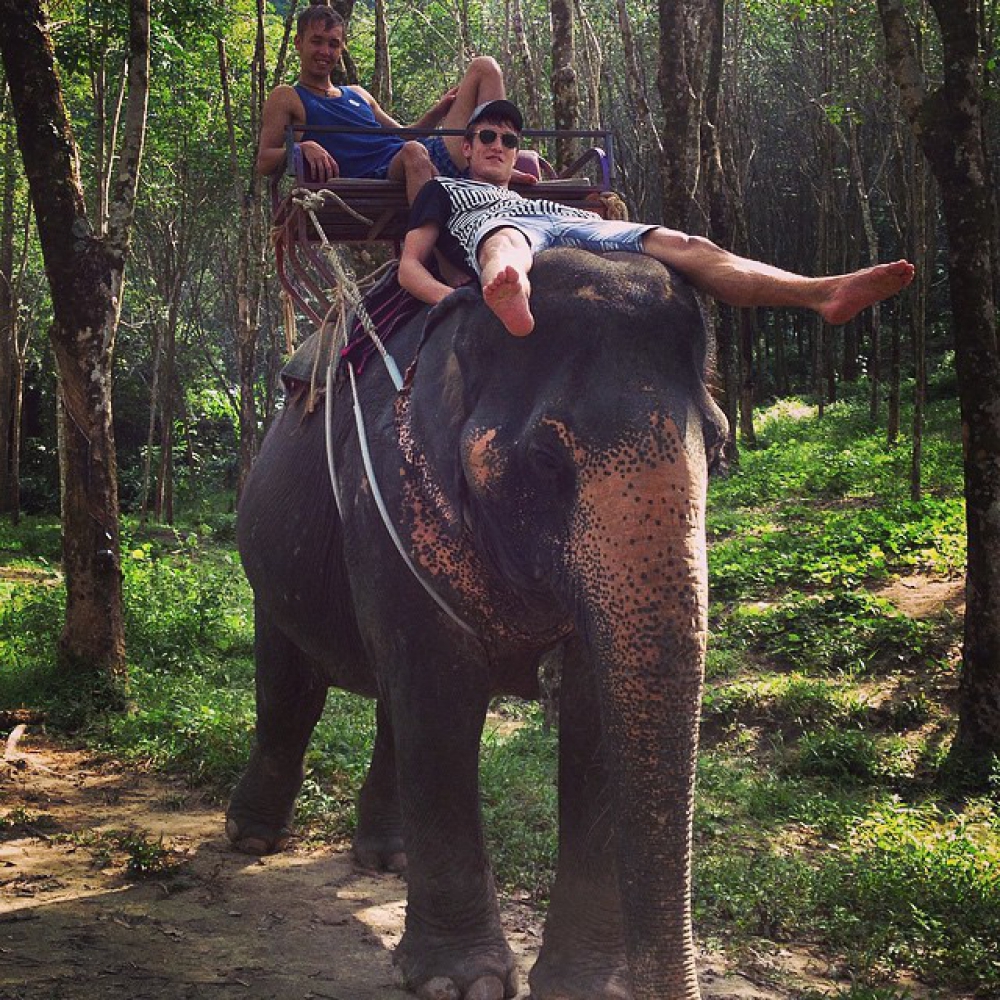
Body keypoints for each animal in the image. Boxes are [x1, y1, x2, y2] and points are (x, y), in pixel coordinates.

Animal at [227, 247, 728, 1000]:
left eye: (720, 450)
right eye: (547, 461)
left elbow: (592, 711)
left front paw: (584, 987)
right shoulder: (385, 494)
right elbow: (439, 696)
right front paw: (465, 985)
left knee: (389, 703)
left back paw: (388, 860)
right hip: (269, 558)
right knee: (292, 690)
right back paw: (253, 840)